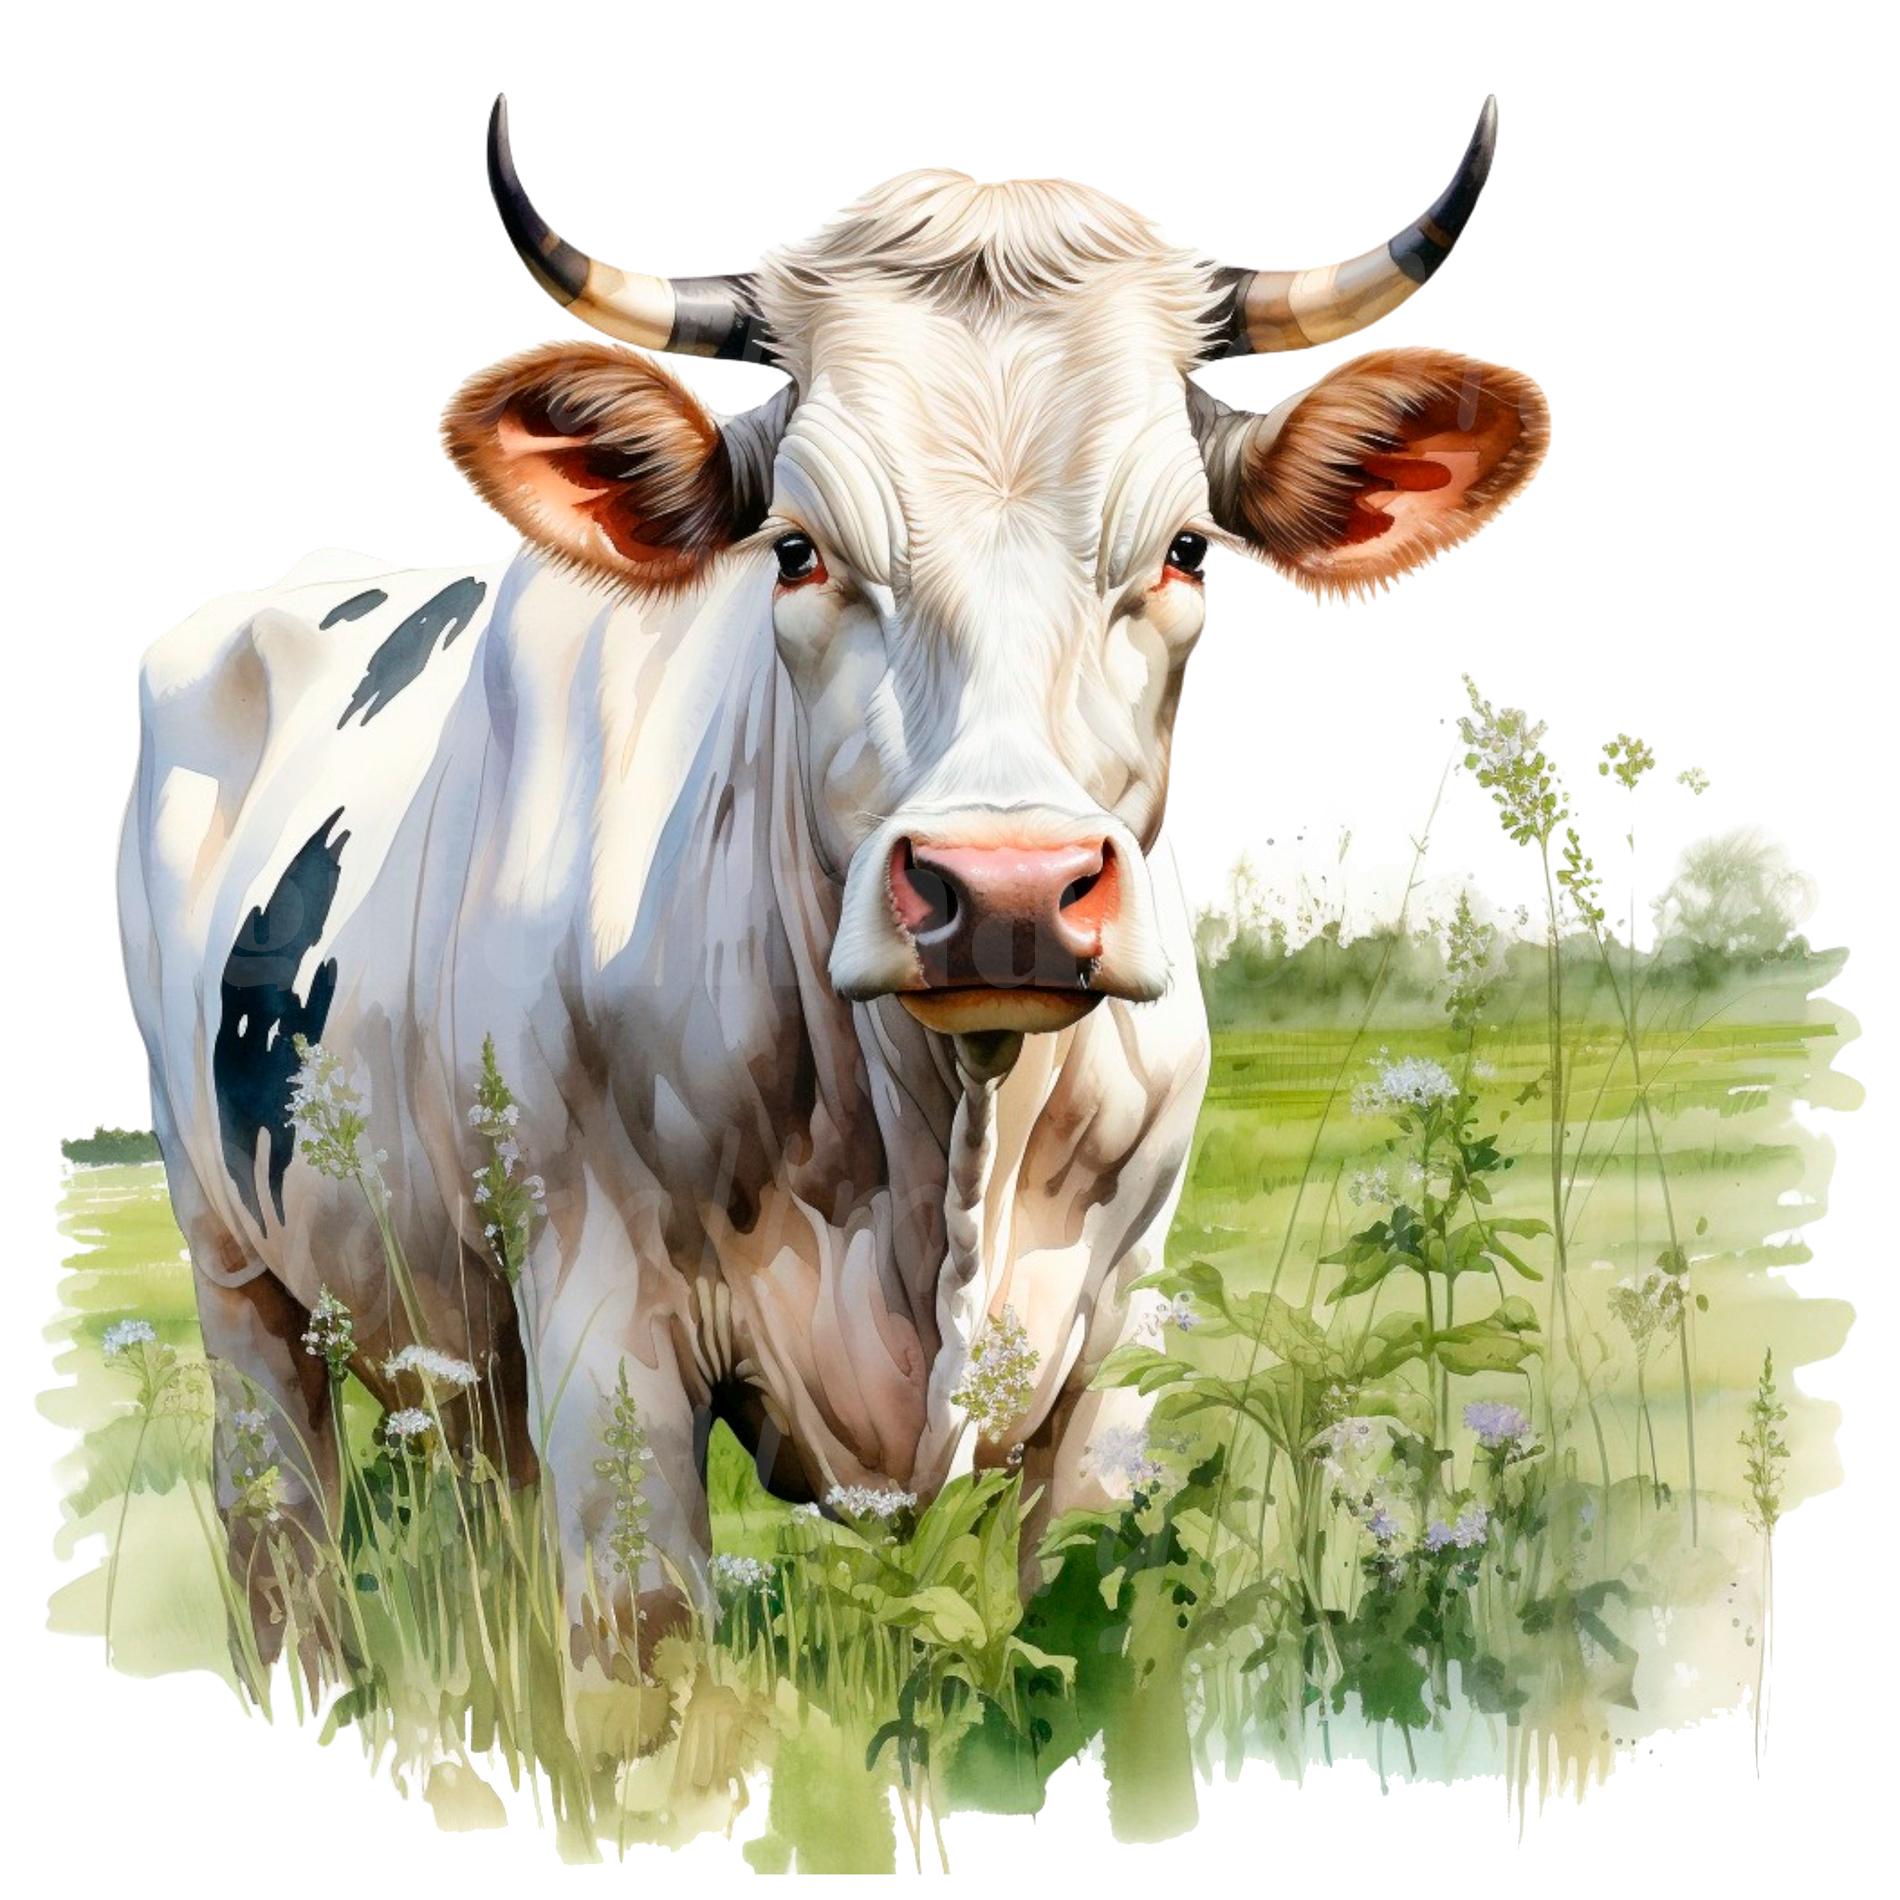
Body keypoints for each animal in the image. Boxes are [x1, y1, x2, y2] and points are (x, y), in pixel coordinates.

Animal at [119, 96, 1546, 1653]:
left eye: (1185, 550)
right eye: (795, 552)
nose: (1008, 890)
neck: (940, 1146)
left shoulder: (1124, 1337)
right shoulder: (601, 1326)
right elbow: (642, 1650)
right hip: (232, 1269)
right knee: (276, 1533)